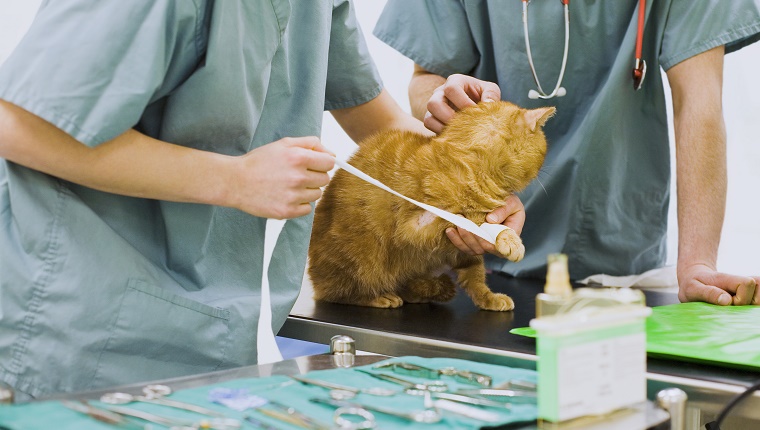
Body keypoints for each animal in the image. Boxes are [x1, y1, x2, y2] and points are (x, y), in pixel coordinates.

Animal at [308, 102, 552, 310]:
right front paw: (509, 239)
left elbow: (476, 276)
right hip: (362, 261)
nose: (543, 170)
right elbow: (478, 221)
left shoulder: (463, 251)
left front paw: (488, 298)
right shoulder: (419, 223)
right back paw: (379, 297)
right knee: (338, 294)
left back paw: (420, 292)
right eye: (544, 151)